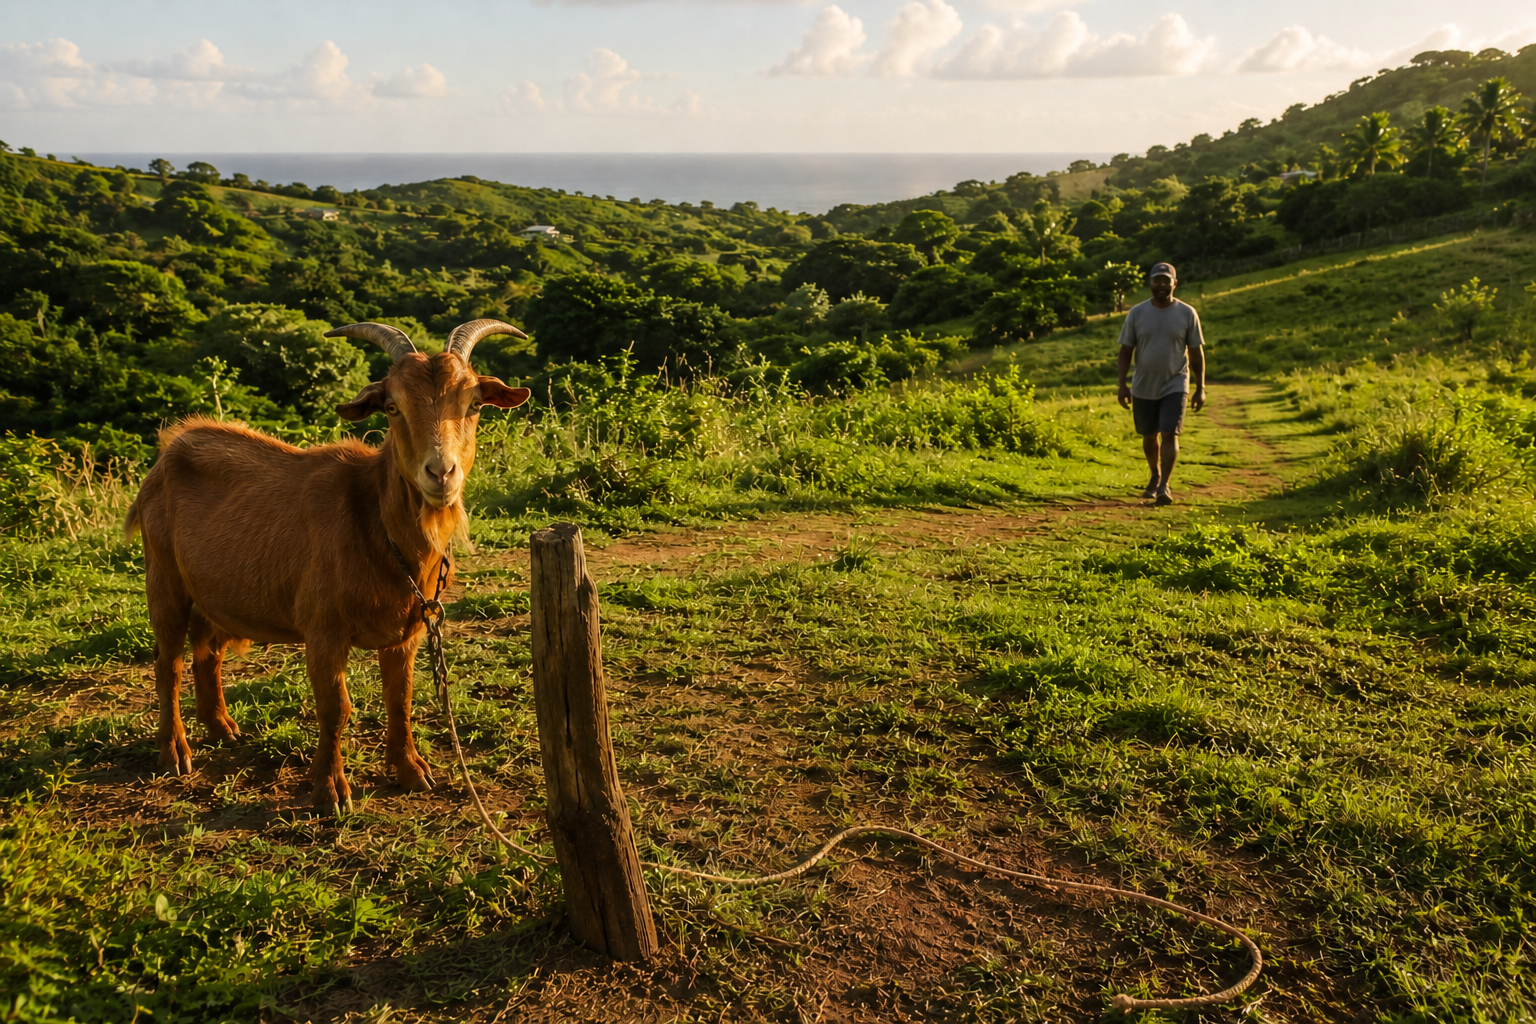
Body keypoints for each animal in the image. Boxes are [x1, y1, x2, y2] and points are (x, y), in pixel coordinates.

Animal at [125, 320, 531, 813]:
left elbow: (400, 698)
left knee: (208, 649)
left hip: (213, 591)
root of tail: (170, 449)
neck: (374, 524)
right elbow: (335, 707)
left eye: (473, 404)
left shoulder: (408, 631)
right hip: (163, 575)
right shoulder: (322, 629)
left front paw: (412, 771)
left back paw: (221, 727)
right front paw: (331, 791)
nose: (441, 473)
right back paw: (174, 752)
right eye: (392, 407)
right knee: (168, 661)